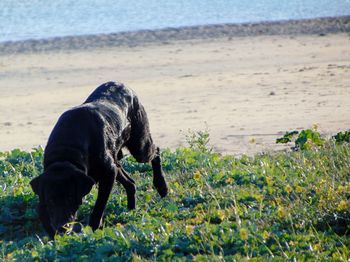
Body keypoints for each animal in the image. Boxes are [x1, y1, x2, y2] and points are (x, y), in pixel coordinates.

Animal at [29, 81, 167, 237]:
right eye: (51, 200)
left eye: (70, 197)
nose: (62, 228)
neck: (66, 152)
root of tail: (124, 85)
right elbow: (43, 213)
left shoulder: (108, 174)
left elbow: (99, 205)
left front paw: (93, 229)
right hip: (116, 159)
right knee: (130, 182)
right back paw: (131, 209)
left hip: (139, 146)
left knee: (156, 152)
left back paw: (162, 186)